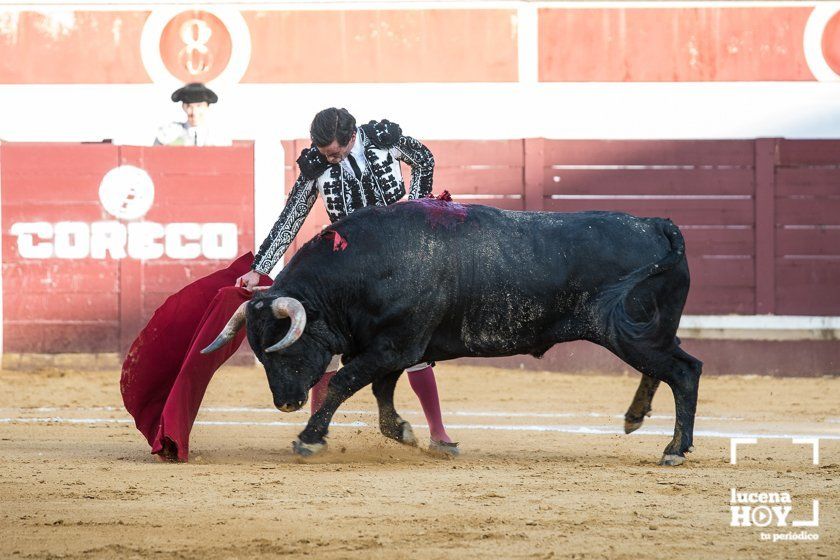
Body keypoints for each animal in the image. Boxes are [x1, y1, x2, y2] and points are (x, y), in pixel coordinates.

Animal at [203, 199, 704, 466]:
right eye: (259, 353)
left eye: (282, 349)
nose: (285, 403)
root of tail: (657, 225)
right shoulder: (395, 348)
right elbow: (381, 390)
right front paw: (403, 432)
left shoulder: (393, 346)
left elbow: (344, 383)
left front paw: (309, 438)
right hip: (646, 332)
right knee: (668, 366)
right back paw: (635, 418)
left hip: (629, 334)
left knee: (686, 371)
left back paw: (674, 450)